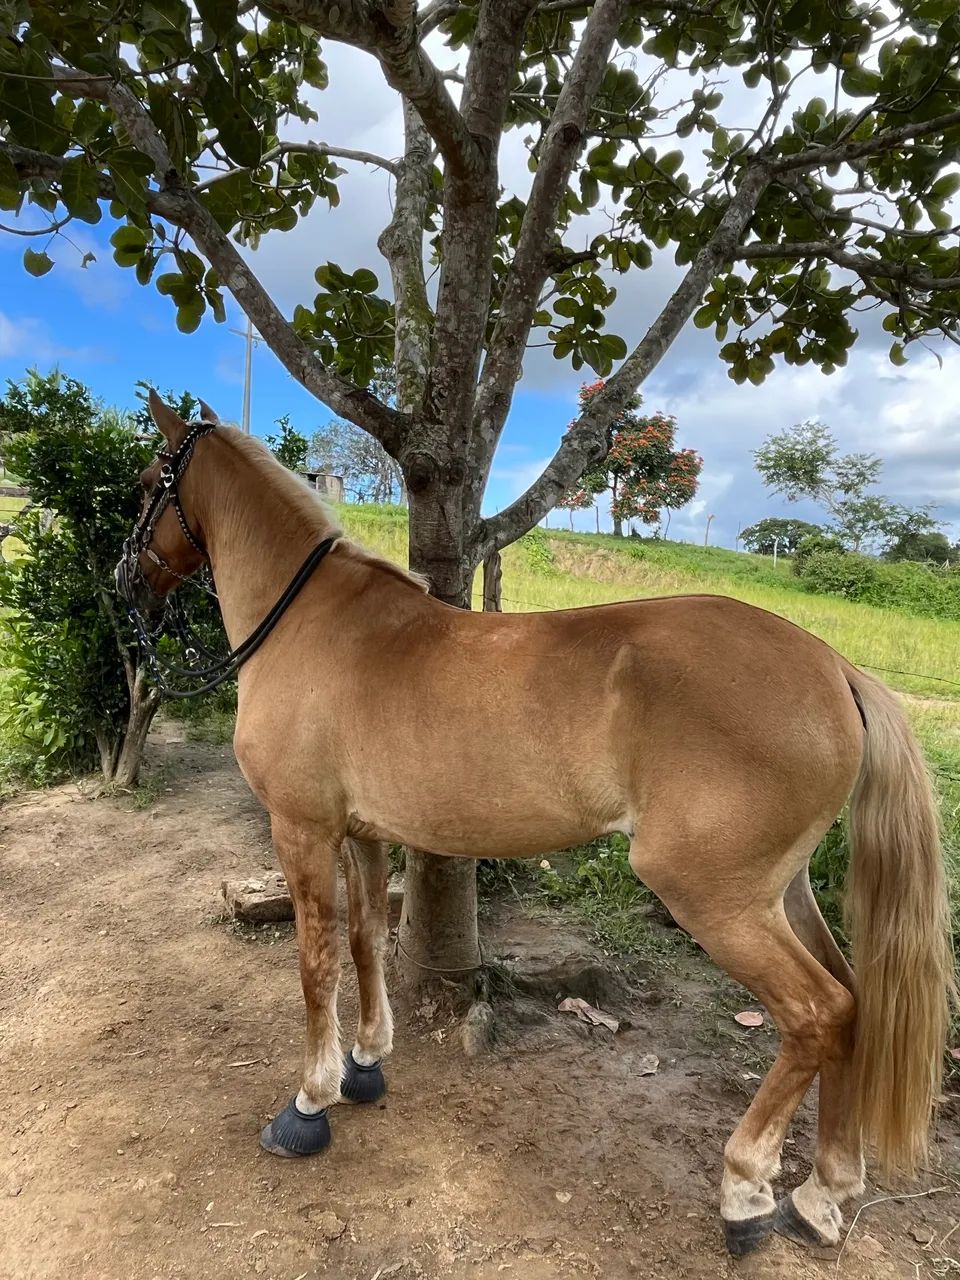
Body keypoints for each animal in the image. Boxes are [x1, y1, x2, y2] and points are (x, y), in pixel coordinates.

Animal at [116, 391, 954, 1258]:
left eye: (146, 485)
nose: (121, 584)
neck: (309, 624)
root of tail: (835, 668)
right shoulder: (362, 833)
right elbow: (364, 943)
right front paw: (367, 1062)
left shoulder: (302, 829)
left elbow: (316, 964)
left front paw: (310, 1103)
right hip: (781, 892)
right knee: (854, 1004)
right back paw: (824, 1191)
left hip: (715, 899)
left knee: (819, 1014)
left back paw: (747, 1191)